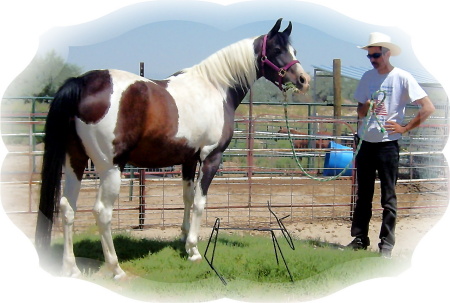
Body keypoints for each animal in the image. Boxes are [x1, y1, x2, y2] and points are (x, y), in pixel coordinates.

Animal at [34, 19, 310, 280]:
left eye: (294, 50)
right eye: (276, 50)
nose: (303, 80)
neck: (215, 88)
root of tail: (82, 83)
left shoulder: (188, 159)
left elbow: (187, 198)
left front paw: (185, 241)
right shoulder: (211, 157)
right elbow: (199, 202)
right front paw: (195, 251)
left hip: (75, 161)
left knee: (67, 208)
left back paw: (71, 268)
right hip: (110, 168)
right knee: (102, 212)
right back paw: (116, 269)